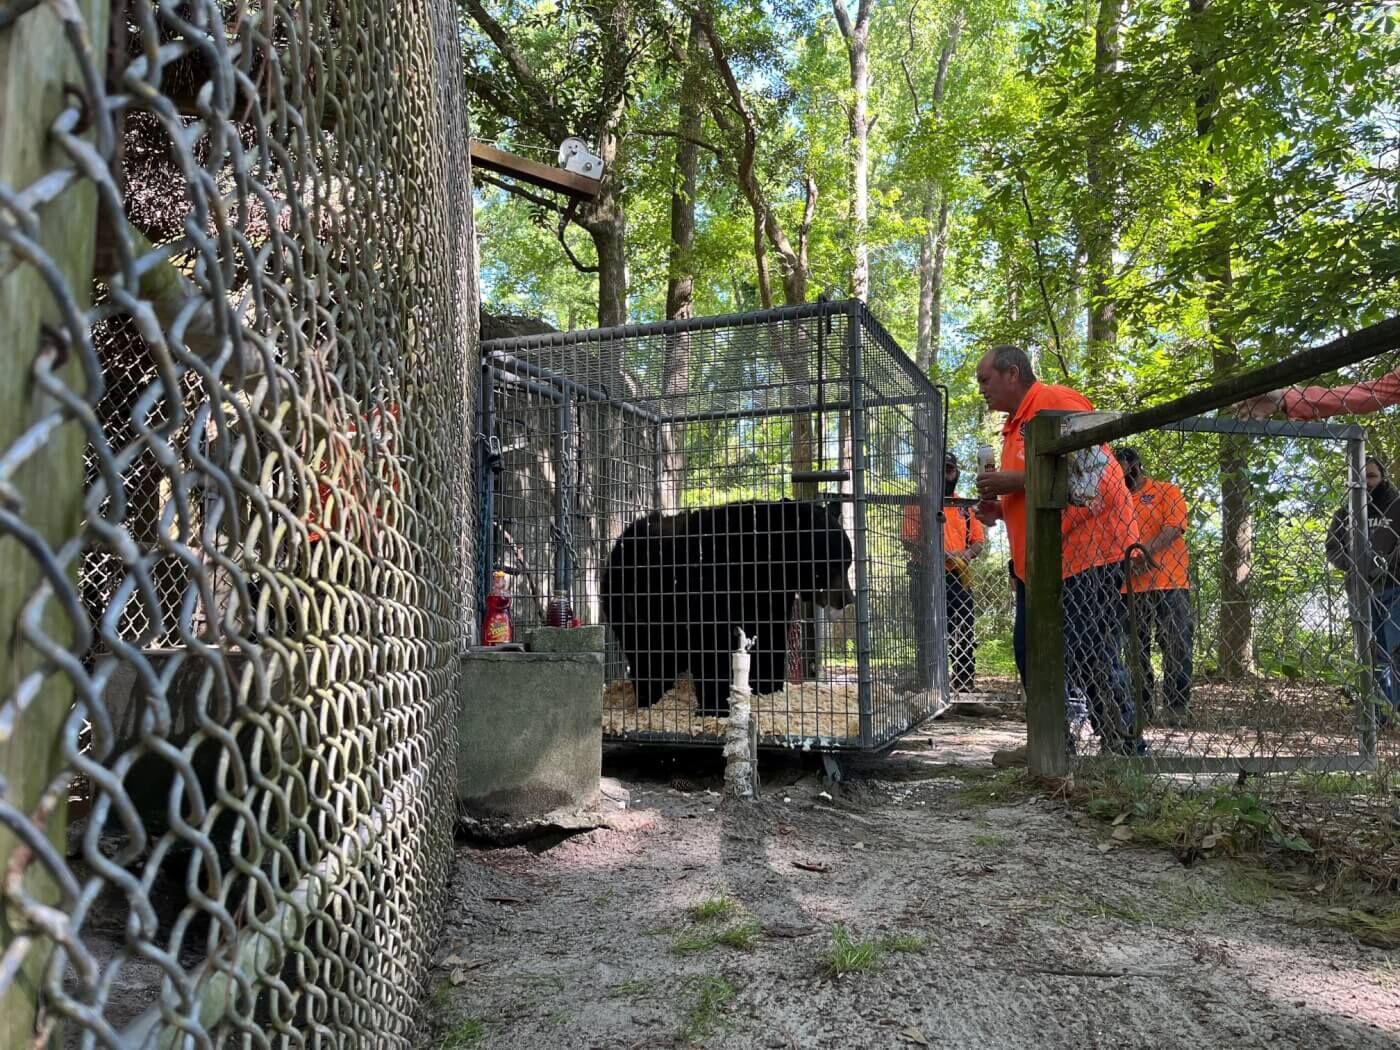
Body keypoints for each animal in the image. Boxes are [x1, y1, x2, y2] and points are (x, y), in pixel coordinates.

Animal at [599, 498, 851, 716]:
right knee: (645, 652)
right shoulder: (714, 583)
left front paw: (767, 690)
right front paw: (714, 707)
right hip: (634, 602)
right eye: (834, 563)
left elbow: (771, 638)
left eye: (847, 562)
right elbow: (712, 644)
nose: (848, 598)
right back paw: (649, 697)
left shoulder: (771, 596)